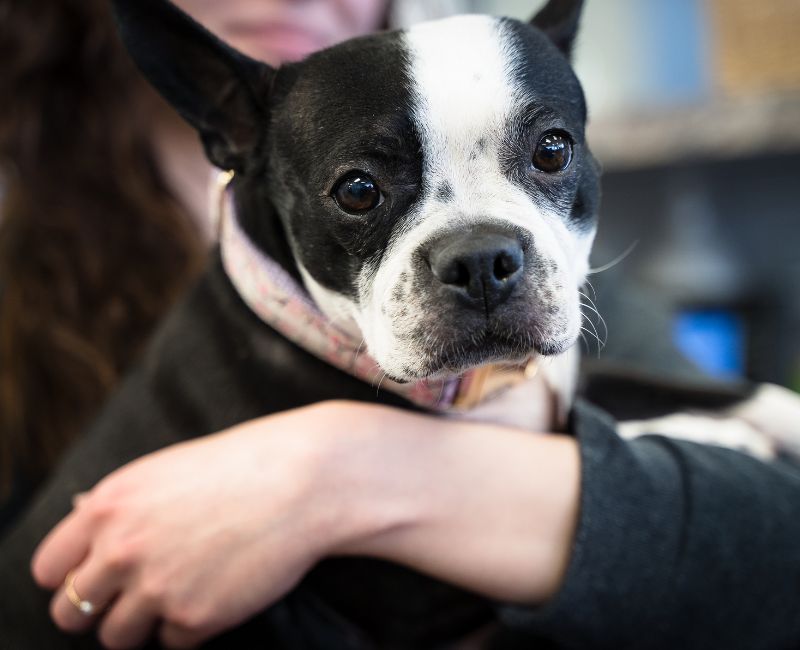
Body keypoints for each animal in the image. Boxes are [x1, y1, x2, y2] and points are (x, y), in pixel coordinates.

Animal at [0, 0, 796, 644]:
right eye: (357, 190)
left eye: (552, 150)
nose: (480, 258)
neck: (486, 390)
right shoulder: (430, 599)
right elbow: (601, 432)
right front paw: (713, 436)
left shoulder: (572, 374)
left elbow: (707, 389)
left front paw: (759, 420)